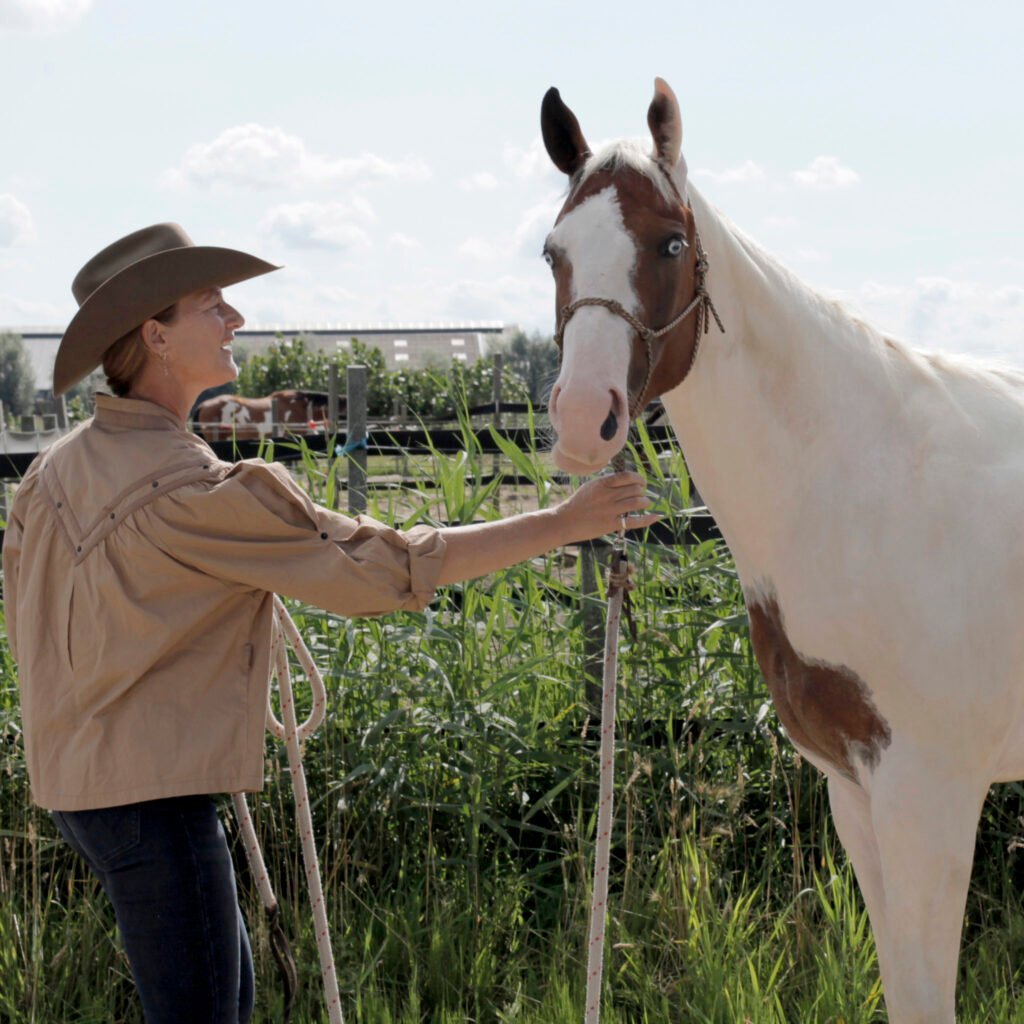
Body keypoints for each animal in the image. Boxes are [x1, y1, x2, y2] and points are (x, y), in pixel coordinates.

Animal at [536, 75, 1024, 1019]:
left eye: (670, 241)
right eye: (552, 252)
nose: (582, 419)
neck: (864, 480)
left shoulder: (931, 795)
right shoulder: (855, 790)